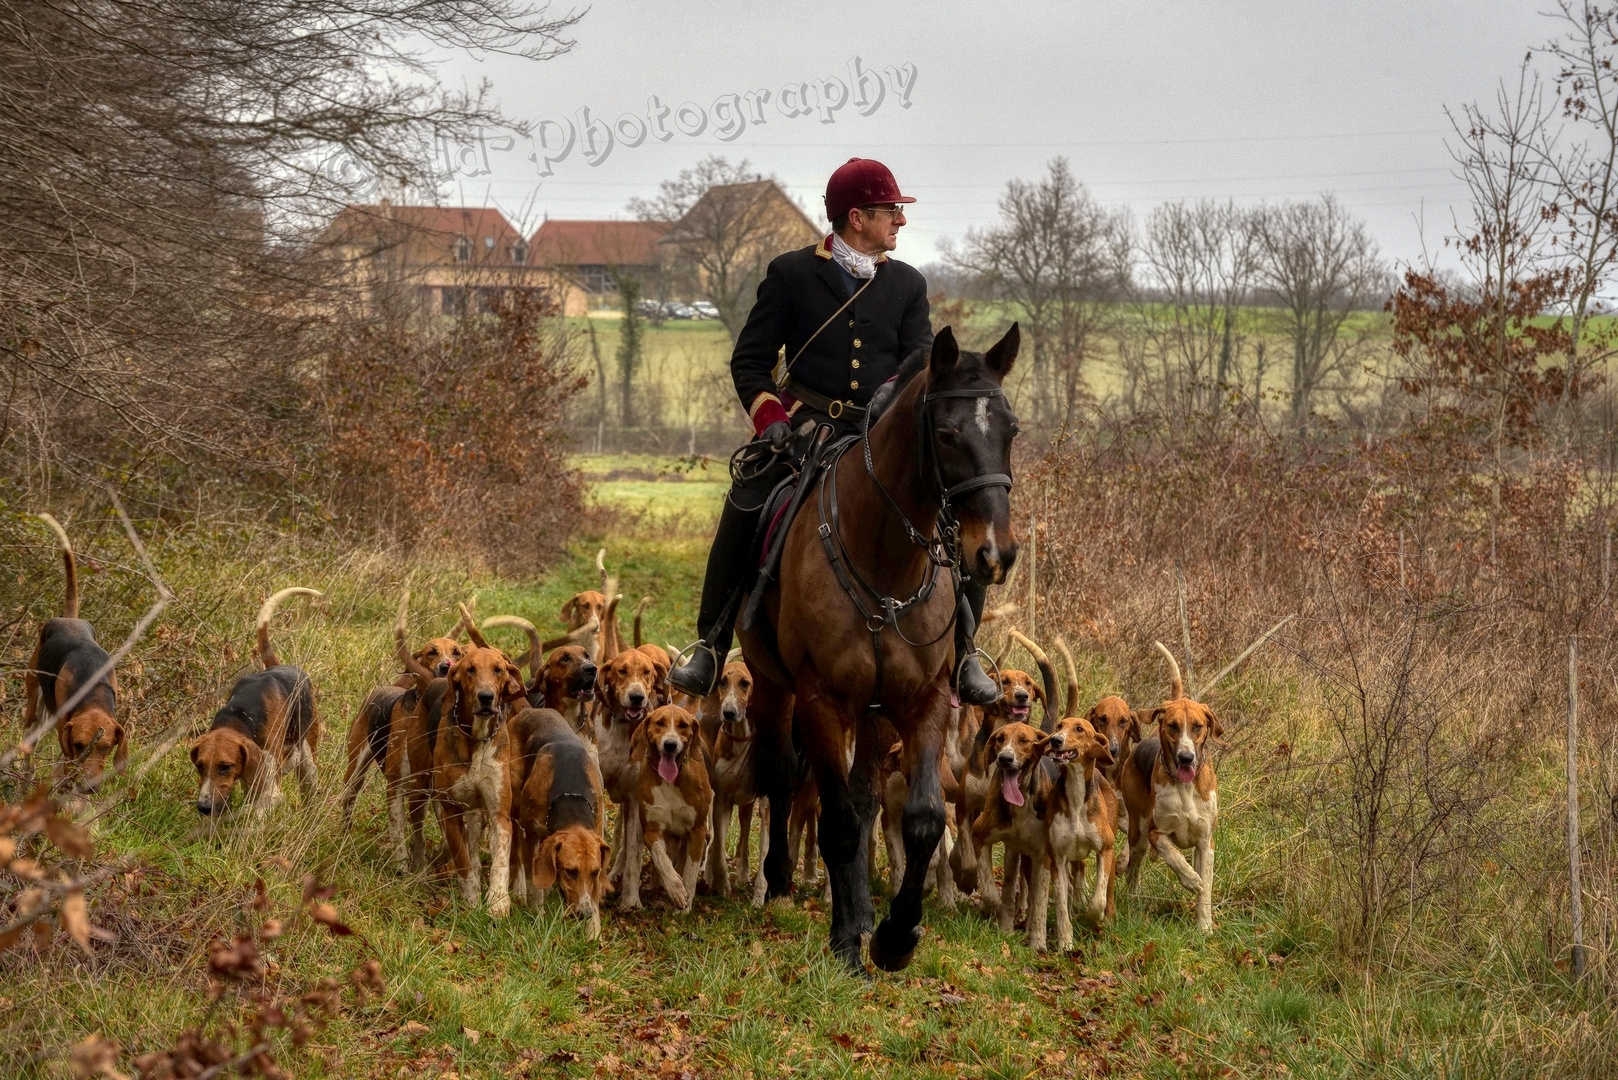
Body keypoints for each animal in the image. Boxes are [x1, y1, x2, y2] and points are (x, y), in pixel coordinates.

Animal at [741, 325, 1016, 977]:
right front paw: (845, 942)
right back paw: (780, 879)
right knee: (780, 769)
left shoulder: (923, 701)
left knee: (865, 798)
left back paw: (865, 911)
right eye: (946, 433)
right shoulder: (819, 698)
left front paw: (893, 935)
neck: (886, 563)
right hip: (772, 683)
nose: (996, 553)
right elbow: (837, 820)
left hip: (874, 714)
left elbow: (920, 820)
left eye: (1011, 430)